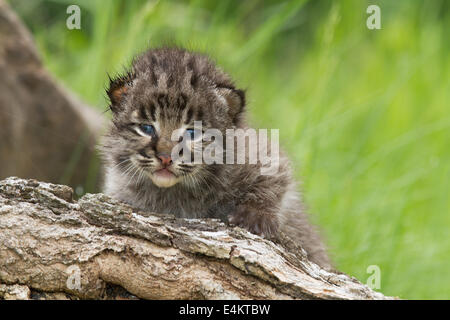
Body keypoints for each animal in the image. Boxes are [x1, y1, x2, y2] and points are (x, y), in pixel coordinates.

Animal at [99, 47, 330, 268]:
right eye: (147, 128)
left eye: (192, 132)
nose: (165, 158)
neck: (175, 193)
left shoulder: (264, 152)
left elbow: (275, 180)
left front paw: (255, 217)